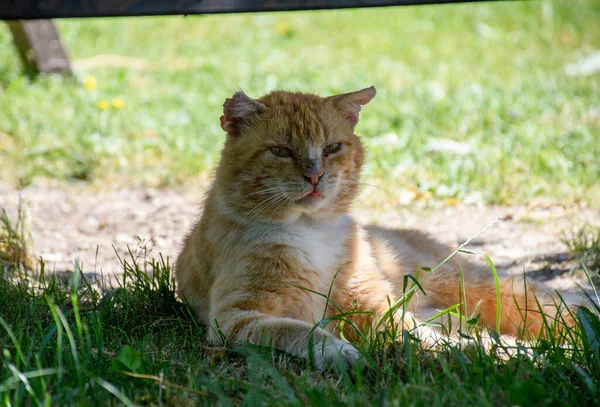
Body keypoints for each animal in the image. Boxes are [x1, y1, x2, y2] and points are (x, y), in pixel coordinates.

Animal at [175, 87, 572, 368]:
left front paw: (488, 352)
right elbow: (299, 331)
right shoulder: (236, 318)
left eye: (332, 147)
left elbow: (416, 333)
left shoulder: (375, 305)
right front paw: (339, 352)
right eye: (281, 151)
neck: (311, 231)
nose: (315, 175)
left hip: (473, 286)